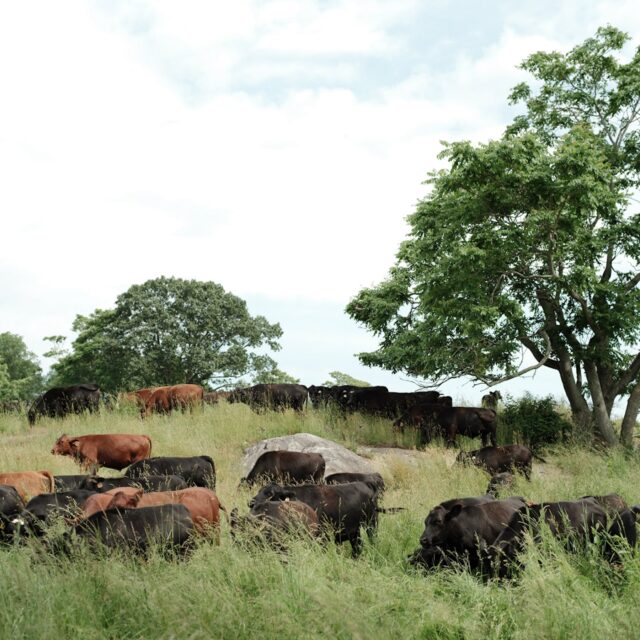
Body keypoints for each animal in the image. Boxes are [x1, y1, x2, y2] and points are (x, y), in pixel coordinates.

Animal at [249, 480, 380, 556]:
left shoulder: (320, 536)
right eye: (259, 491)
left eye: (270, 493)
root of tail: (364, 483)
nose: (251, 503)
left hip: (371, 524)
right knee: (357, 547)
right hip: (354, 531)